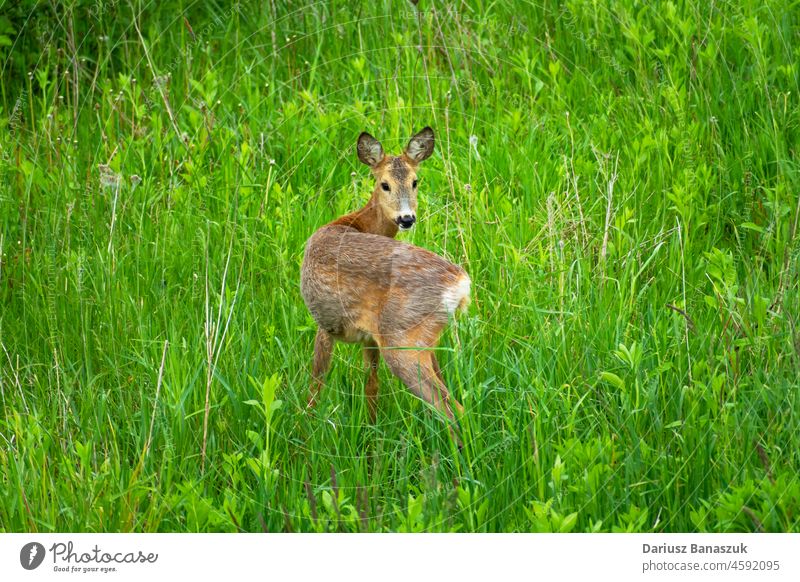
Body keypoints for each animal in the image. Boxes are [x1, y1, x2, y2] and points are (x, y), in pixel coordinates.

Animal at [304, 128, 472, 434]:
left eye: (415, 181)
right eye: (384, 184)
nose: (407, 218)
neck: (354, 222)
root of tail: (461, 283)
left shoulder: (325, 323)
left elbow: (316, 382)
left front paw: (305, 430)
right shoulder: (369, 337)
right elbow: (372, 386)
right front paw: (371, 431)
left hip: (401, 340)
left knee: (454, 411)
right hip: (425, 339)